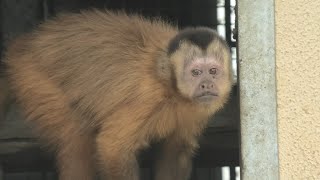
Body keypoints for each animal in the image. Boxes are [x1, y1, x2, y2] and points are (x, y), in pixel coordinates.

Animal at [2, 9, 232, 180]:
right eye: (196, 73)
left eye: (213, 71)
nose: (206, 84)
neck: (171, 88)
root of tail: (24, 44)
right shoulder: (147, 97)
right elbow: (112, 147)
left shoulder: (197, 111)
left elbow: (176, 150)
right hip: (33, 77)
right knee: (77, 138)